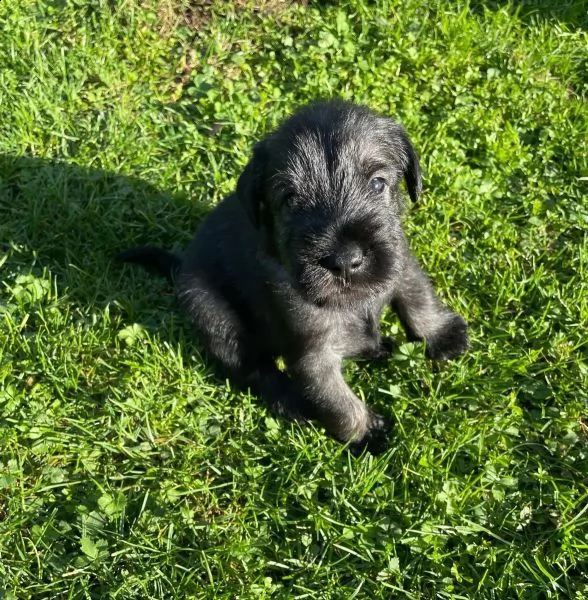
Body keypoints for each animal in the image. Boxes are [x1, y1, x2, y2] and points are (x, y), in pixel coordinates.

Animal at [119, 101, 468, 452]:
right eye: (290, 199)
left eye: (378, 183)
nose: (345, 260)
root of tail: (181, 266)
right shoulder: (314, 358)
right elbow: (337, 402)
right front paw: (366, 432)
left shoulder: (401, 264)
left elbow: (417, 298)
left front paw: (442, 337)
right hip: (213, 316)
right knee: (255, 370)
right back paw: (293, 403)